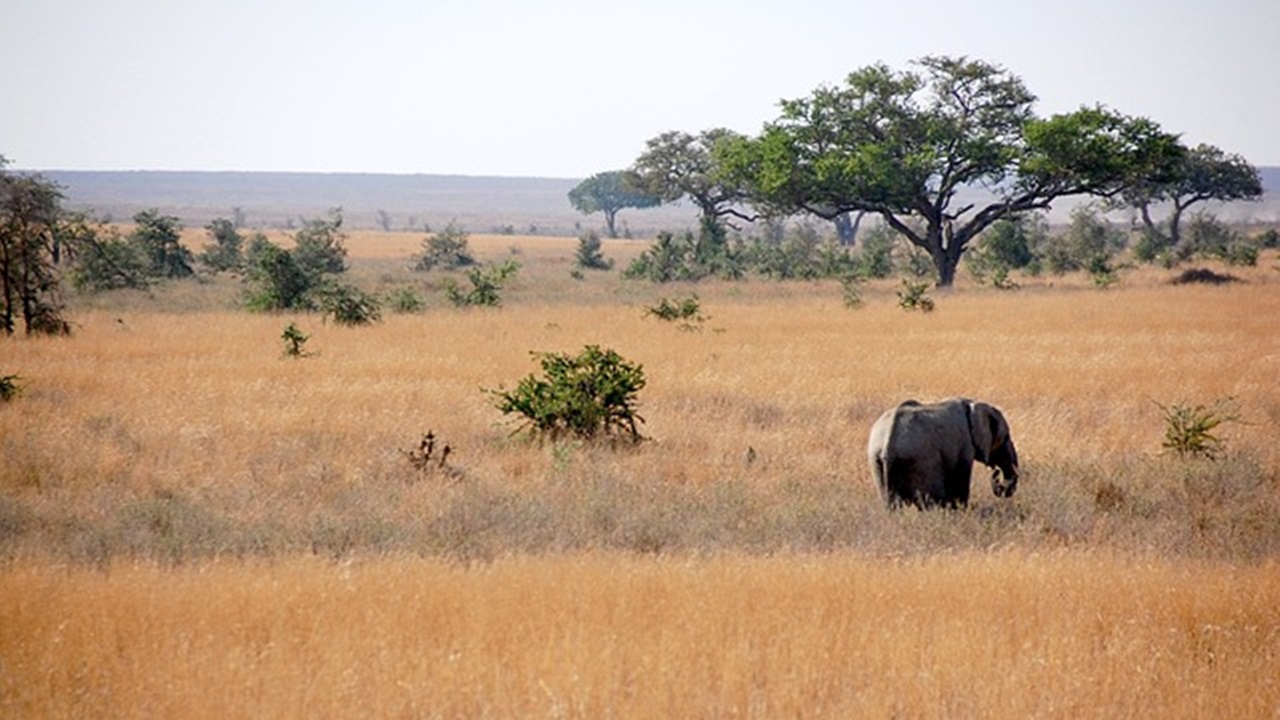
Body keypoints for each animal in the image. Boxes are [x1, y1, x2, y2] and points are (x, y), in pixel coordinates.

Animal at [870, 394, 1018, 507]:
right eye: (1006, 437)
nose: (996, 473)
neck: (973, 404)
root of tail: (888, 445)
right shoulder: (964, 444)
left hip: (876, 462)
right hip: (920, 462)